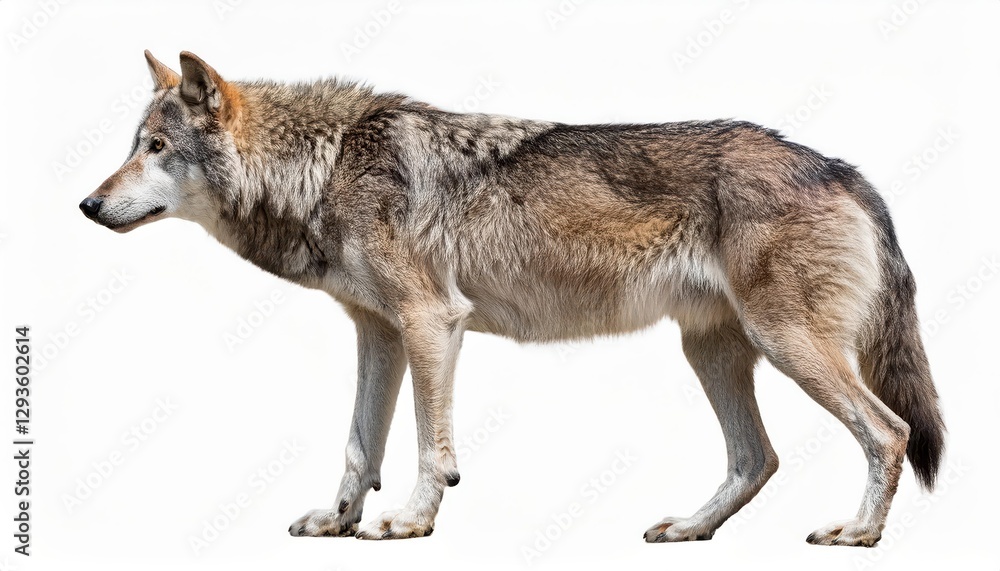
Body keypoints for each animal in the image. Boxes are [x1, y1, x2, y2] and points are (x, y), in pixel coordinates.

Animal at [79, 51, 945, 546]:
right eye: (132, 147)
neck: (323, 165)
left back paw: (858, 532)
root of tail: (840, 166)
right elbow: (360, 444)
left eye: (156, 148)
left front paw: (409, 522)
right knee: (756, 457)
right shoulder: (378, 332)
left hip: (785, 344)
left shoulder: (432, 322)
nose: (86, 205)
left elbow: (428, 446)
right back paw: (688, 529)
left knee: (890, 430)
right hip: (712, 350)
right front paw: (338, 521)